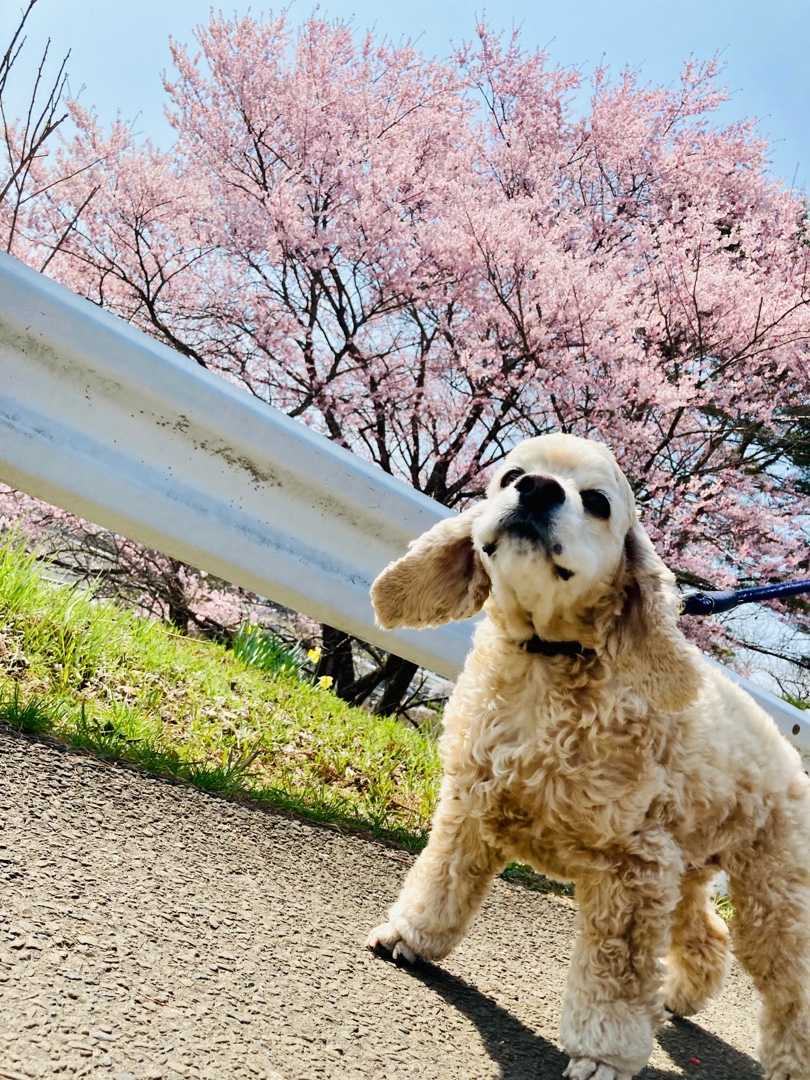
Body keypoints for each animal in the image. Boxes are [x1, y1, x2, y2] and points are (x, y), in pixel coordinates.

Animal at [367, 432, 810, 1080]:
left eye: (598, 503)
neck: (546, 661)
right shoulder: (470, 805)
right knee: (707, 934)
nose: (538, 490)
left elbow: (614, 977)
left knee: (790, 984)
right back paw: (679, 995)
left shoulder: (634, 867)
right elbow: (442, 879)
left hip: (773, 889)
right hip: (689, 861)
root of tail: (784, 742)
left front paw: (603, 1054)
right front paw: (411, 937)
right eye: (512, 475)